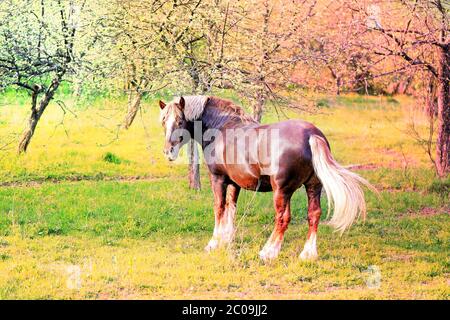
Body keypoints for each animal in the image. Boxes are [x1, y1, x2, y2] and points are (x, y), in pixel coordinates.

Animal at [158, 95, 372, 260]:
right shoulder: (235, 183)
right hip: (312, 186)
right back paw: (307, 254)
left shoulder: (218, 179)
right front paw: (227, 239)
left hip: (282, 191)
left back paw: (269, 252)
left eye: (179, 121)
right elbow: (231, 208)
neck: (222, 128)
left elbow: (219, 208)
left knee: (283, 218)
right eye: (163, 122)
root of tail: (312, 135)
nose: (168, 152)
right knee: (314, 214)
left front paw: (214, 243)